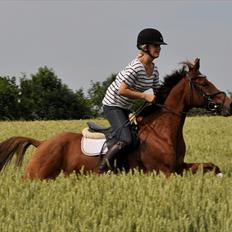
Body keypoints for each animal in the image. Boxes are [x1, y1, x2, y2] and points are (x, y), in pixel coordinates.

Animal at [0, 58, 231, 179]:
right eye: (203, 83)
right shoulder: (163, 172)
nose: (228, 103)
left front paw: (220, 177)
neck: (163, 132)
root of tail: (42, 143)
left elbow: (211, 166)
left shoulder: (179, 166)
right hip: (37, 176)